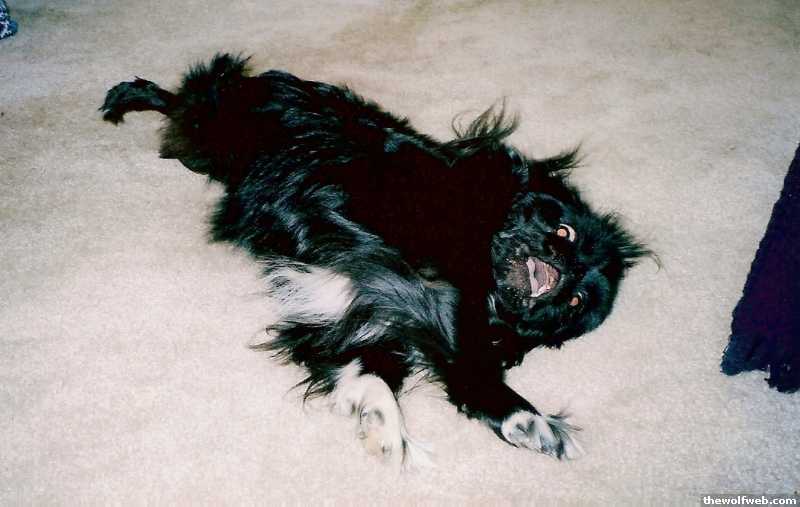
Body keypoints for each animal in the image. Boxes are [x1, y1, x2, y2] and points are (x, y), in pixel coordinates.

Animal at [101, 53, 648, 466]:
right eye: (563, 230)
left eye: (576, 303)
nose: (564, 270)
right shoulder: (409, 277)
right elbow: (460, 355)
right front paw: (528, 420)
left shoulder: (373, 317)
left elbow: (373, 368)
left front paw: (381, 424)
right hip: (212, 132)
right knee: (184, 99)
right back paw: (126, 98)